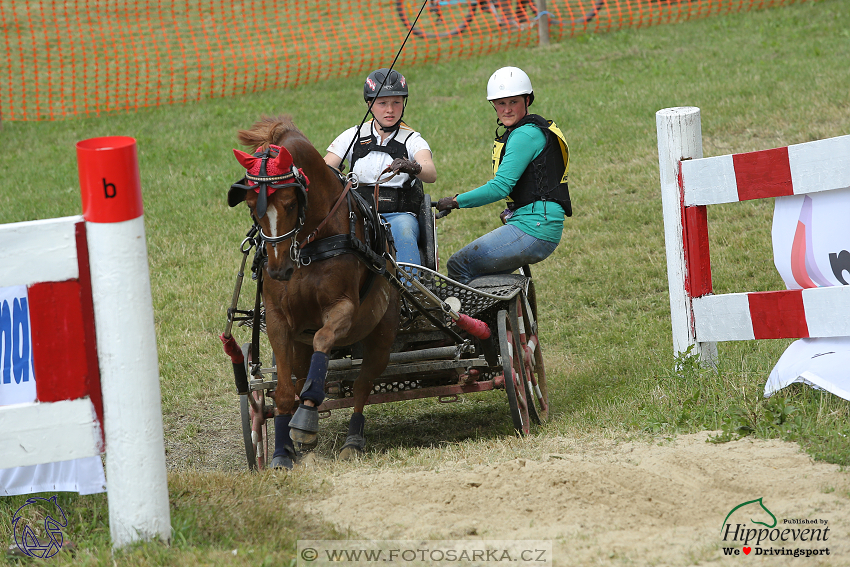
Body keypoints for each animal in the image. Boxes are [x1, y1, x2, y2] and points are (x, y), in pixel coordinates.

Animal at [225, 113, 398, 468]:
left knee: (363, 385)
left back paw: (352, 438)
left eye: (291, 203)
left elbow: (323, 339)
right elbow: (282, 392)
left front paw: (307, 417)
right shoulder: (279, 320)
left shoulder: (343, 308)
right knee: (296, 378)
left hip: (381, 336)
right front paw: (281, 451)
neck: (310, 245)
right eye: (251, 205)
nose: (278, 269)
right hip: (299, 346)